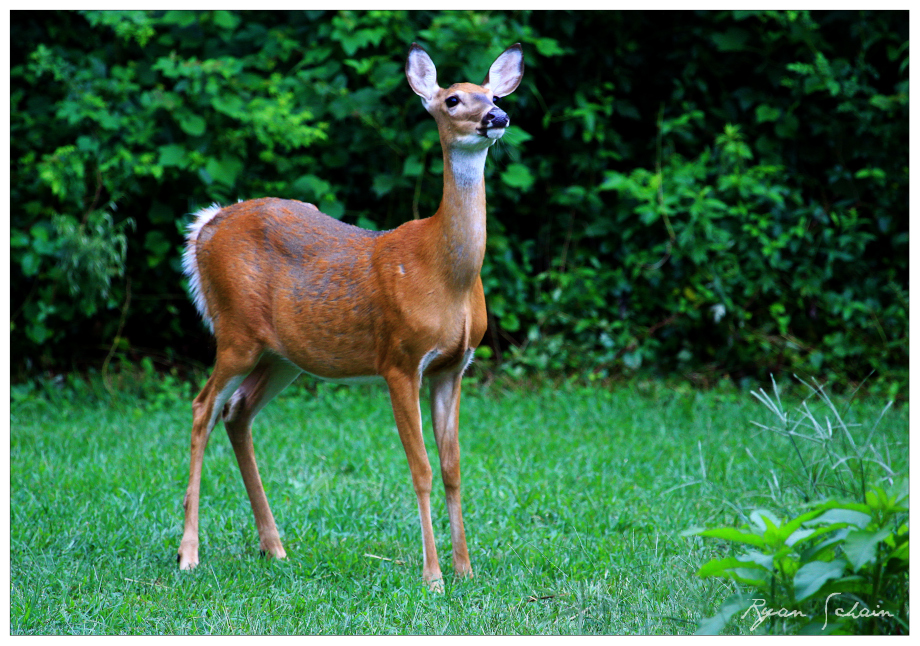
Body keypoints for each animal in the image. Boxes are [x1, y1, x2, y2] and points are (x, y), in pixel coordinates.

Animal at [176, 43, 524, 588]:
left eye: (494, 95)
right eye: (451, 99)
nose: (497, 117)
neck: (446, 275)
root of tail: (203, 226)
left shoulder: (454, 365)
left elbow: (452, 468)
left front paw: (465, 569)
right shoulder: (399, 359)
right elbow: (421, 469)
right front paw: (432, 576)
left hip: (283, 356)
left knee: (236, 411)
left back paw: (274, 547)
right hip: (234, 331)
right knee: (201, 407)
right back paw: (188, 553)